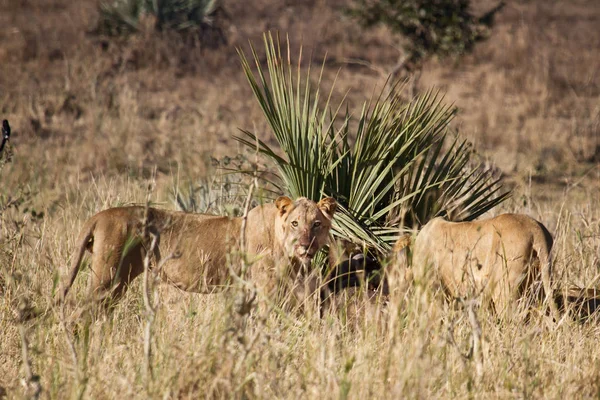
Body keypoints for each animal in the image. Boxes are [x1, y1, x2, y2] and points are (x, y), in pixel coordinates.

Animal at [61, 196, 338, 306]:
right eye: (295, 223)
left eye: (316, 224)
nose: (306, 245)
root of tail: (99, 215)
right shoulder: (266, 289)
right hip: (106, 277)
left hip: (118, 281)